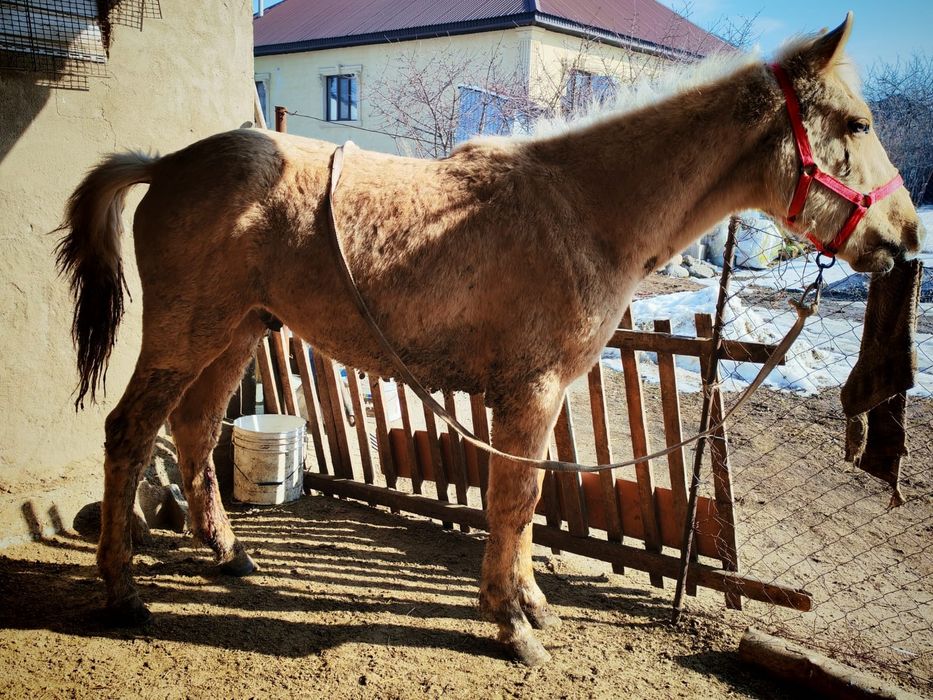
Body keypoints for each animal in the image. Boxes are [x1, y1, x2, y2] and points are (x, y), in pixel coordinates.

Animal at [57, 14, 923, 665]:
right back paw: (123, 592)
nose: (906, 237)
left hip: (238, 332)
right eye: (855, 124)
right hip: (185, 332)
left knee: (195, 429)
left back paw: (228, 554)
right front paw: (510, 624)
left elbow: (529, 499)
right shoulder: (527, 393)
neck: (582, 207)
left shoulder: (546, 394)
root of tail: (167, 164)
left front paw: (530, 602)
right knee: (130, 430)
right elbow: (513, 500)